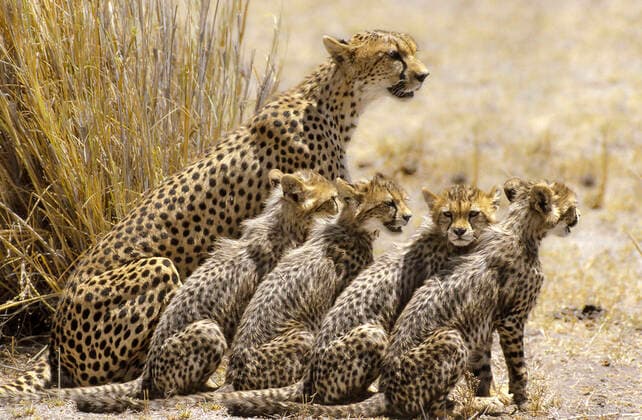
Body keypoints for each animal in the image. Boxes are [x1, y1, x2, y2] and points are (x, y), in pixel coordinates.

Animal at [240, 177, 580, 418]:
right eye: (448, 215)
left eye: (474, 213)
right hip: (427, 337)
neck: (521, 229)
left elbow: (483, 365)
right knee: (432, 409)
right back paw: (474, 406)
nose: (577, 217)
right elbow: (517, 365)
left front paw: (491, 392)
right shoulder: (509, 319)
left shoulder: (481, 317)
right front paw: (518, 399)